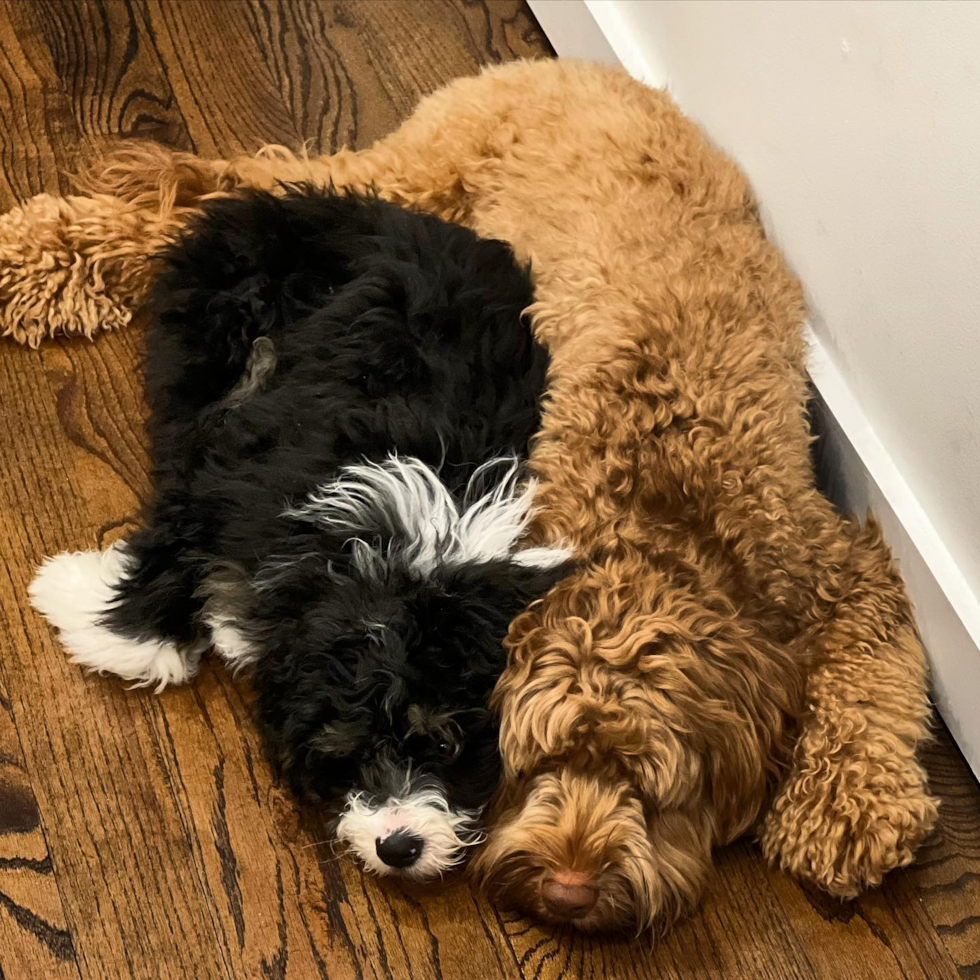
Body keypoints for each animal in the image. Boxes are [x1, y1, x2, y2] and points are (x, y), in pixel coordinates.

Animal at [28, 184, 576, 880]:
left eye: (447, 745)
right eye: (347, 751)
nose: (399, 847)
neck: (394, 553)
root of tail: (314, 201)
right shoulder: (230, 481)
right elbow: (176, 542)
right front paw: (103, 622)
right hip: (209, 339)